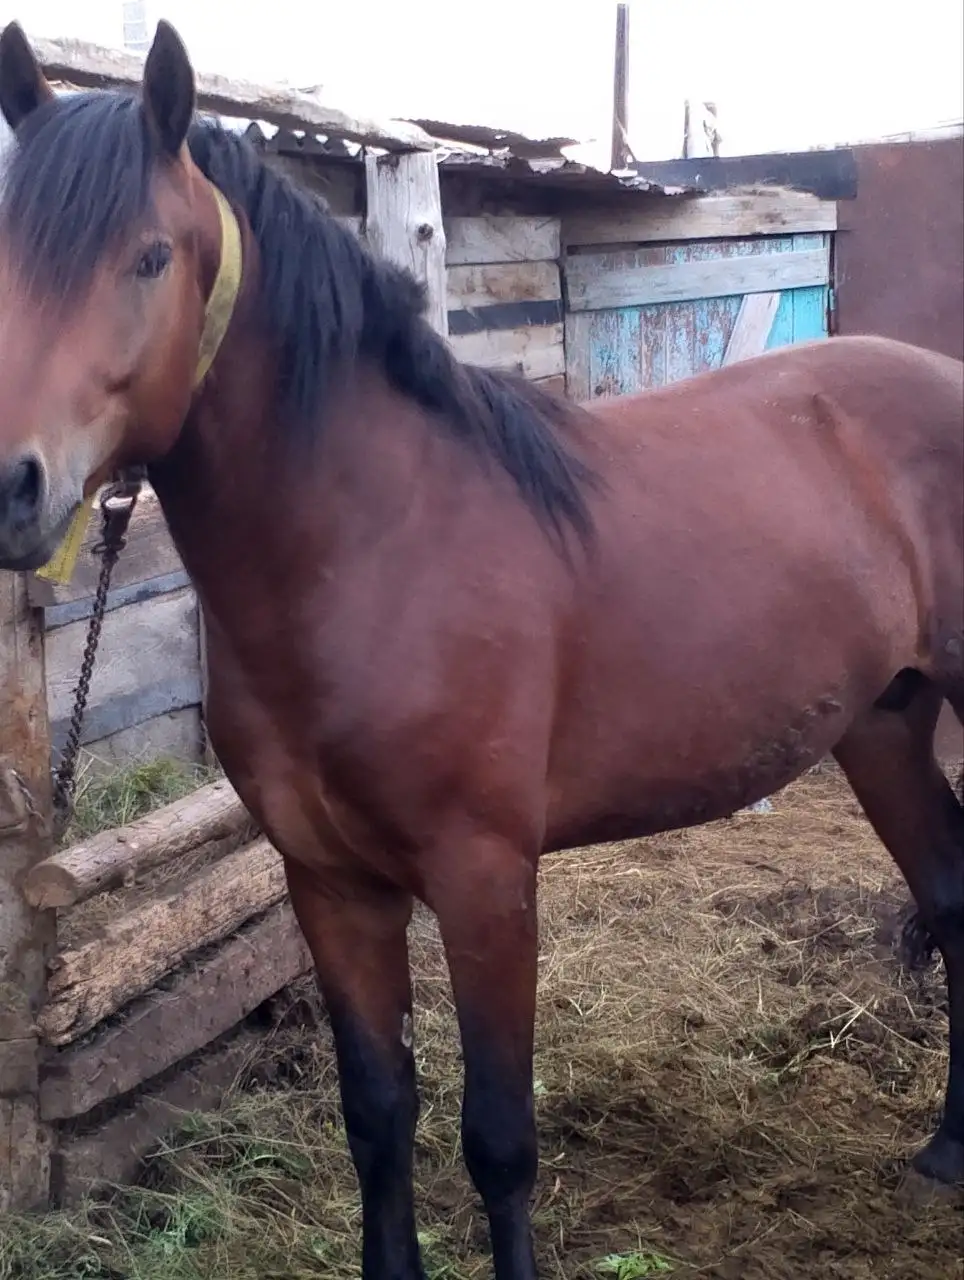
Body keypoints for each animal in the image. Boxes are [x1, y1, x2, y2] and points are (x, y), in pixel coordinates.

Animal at [0, 20, 961, 1280]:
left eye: (151, 256)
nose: (11, 486)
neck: (375, 545)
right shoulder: (331, 883)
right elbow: (377, 1112)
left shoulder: (485, 878)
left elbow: (498, 1135)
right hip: (883, 724)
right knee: (952, 895)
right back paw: (946, 1150)